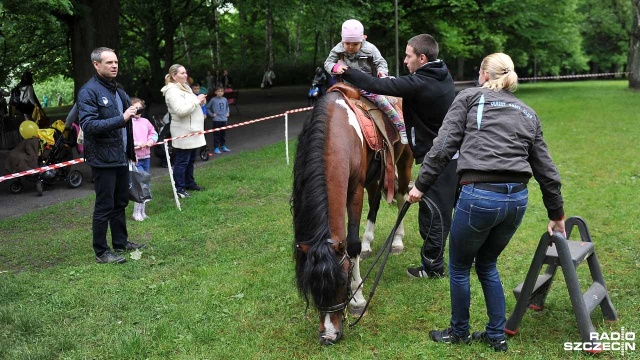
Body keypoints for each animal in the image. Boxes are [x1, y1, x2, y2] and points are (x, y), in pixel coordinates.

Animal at [292, 90, 412, 344]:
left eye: (341, 283)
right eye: (313, 287)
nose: (329, 335)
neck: (338, 131)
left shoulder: (355, 188)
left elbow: (352, 244)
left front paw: (358, 299)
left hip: (404, 162)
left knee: (401, 197)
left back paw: (397, 241)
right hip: (376, 176)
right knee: (375, 203)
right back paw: (369, 244)